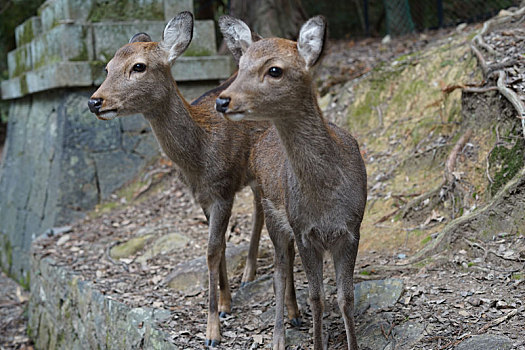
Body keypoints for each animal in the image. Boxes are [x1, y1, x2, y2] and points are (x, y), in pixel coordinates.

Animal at [86, 10, 268, 348]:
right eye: (107, 67)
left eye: (139, 66)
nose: (95, 101)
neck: (199, 156)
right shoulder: (202, 197)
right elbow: (220, 246)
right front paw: (226, 304)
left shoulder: (223, 189)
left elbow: (211, 251)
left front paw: (212, 332)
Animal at [215, 14, 366, 350]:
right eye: (240, 65)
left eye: (275, 70)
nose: (223, 100)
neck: (326, 201)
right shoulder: (304, 230)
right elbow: (317, 298)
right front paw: (317, 343)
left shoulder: (352, 229)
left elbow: (345, 298)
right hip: (274, 216)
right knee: (278, 273)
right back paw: (278, 337)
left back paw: (294, 316)